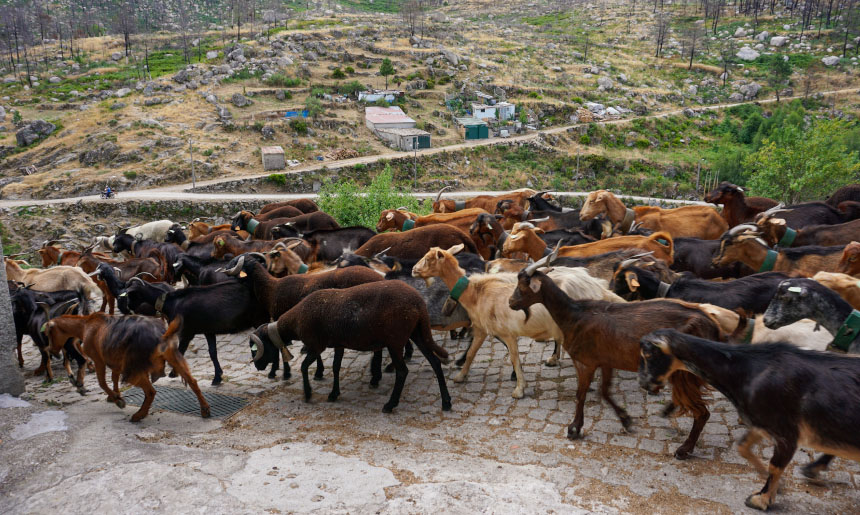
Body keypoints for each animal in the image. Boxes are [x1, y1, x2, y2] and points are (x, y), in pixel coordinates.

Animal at [45, 314, 210, 424]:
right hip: (174, 357)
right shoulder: (116, 362)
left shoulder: (99, 360)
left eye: (49, 334)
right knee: (193, 381)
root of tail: (161, 336)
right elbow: (114, 378)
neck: (86, 325)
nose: (51, 351)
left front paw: (118, 400)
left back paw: (139, 415)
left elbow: (102, 383)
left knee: (151, 391)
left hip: (133, 370)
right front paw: (114, 395)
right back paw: (205, 409)